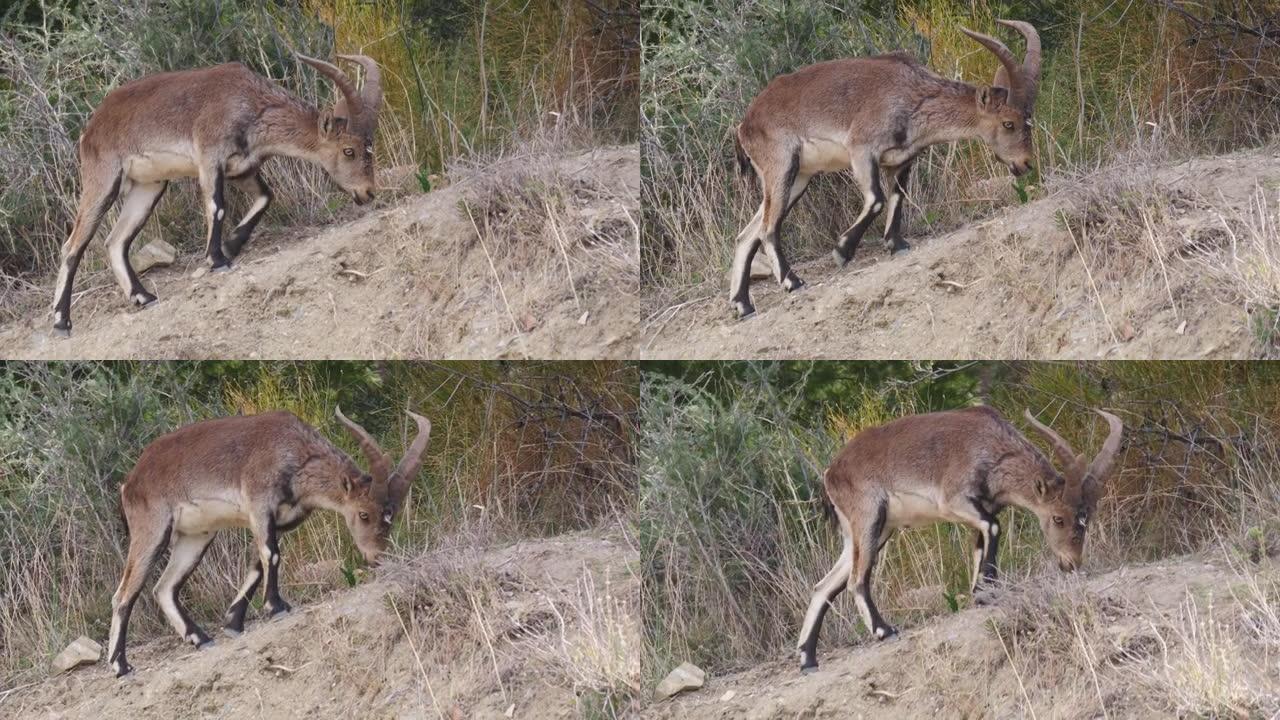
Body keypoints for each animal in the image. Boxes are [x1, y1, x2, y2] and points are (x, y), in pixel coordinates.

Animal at [51, 54, 378, 335]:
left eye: (369, 148)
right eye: (349, 151)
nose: (368, 192)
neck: (249, 104)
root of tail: (91, 127)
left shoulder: (241, 169)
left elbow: (266, 197)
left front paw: (232, 245)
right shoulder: (209, 156)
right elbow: (217, 206)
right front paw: (217, 259)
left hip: (150, 185)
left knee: (115, 241)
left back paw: (143, 297)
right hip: (103, 178)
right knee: (73, 245)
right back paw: (61, 321)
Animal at [104, 407, 424, 676]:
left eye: (392, 515)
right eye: (364, 514)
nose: (377, 556)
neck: (293, 453)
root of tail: (130, 481)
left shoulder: (279, 520)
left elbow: (258, 563)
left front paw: (233, 623)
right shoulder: (259, 504)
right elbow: (272, 554)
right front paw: (277, 607)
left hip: (196, 536)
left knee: (164, 587)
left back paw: (201, 638)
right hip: (152, 528)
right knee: (124, 594)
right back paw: (121, 666)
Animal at [732, 20, 1039, 316]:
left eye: (1028, 120)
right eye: (1008, 123)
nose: (1025, 163)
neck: (911, 94)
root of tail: (745, 124)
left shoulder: (901, 160)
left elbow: (897, 196)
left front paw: (896, 244)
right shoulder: (862, 149)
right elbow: (877, 199)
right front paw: (842, 251)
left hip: (798, 178)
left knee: (747, 235)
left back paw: (742, 305)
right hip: (781, 165)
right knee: (768, 228)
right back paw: (792, 282)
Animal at [798, 407, 1121, 671]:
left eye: (1087, 517)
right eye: (1058, 518)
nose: (1071, 563)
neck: (989, 446)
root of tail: (831, 472)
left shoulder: (980, 510)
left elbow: (982, 543)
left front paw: (983, 590)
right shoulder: (954, 500)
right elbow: (994, 528)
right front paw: (983, 592)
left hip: (868, 531)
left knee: (824, 586)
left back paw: (807, 659)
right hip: (868, 518)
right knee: (856, 579)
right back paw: (884, 631)